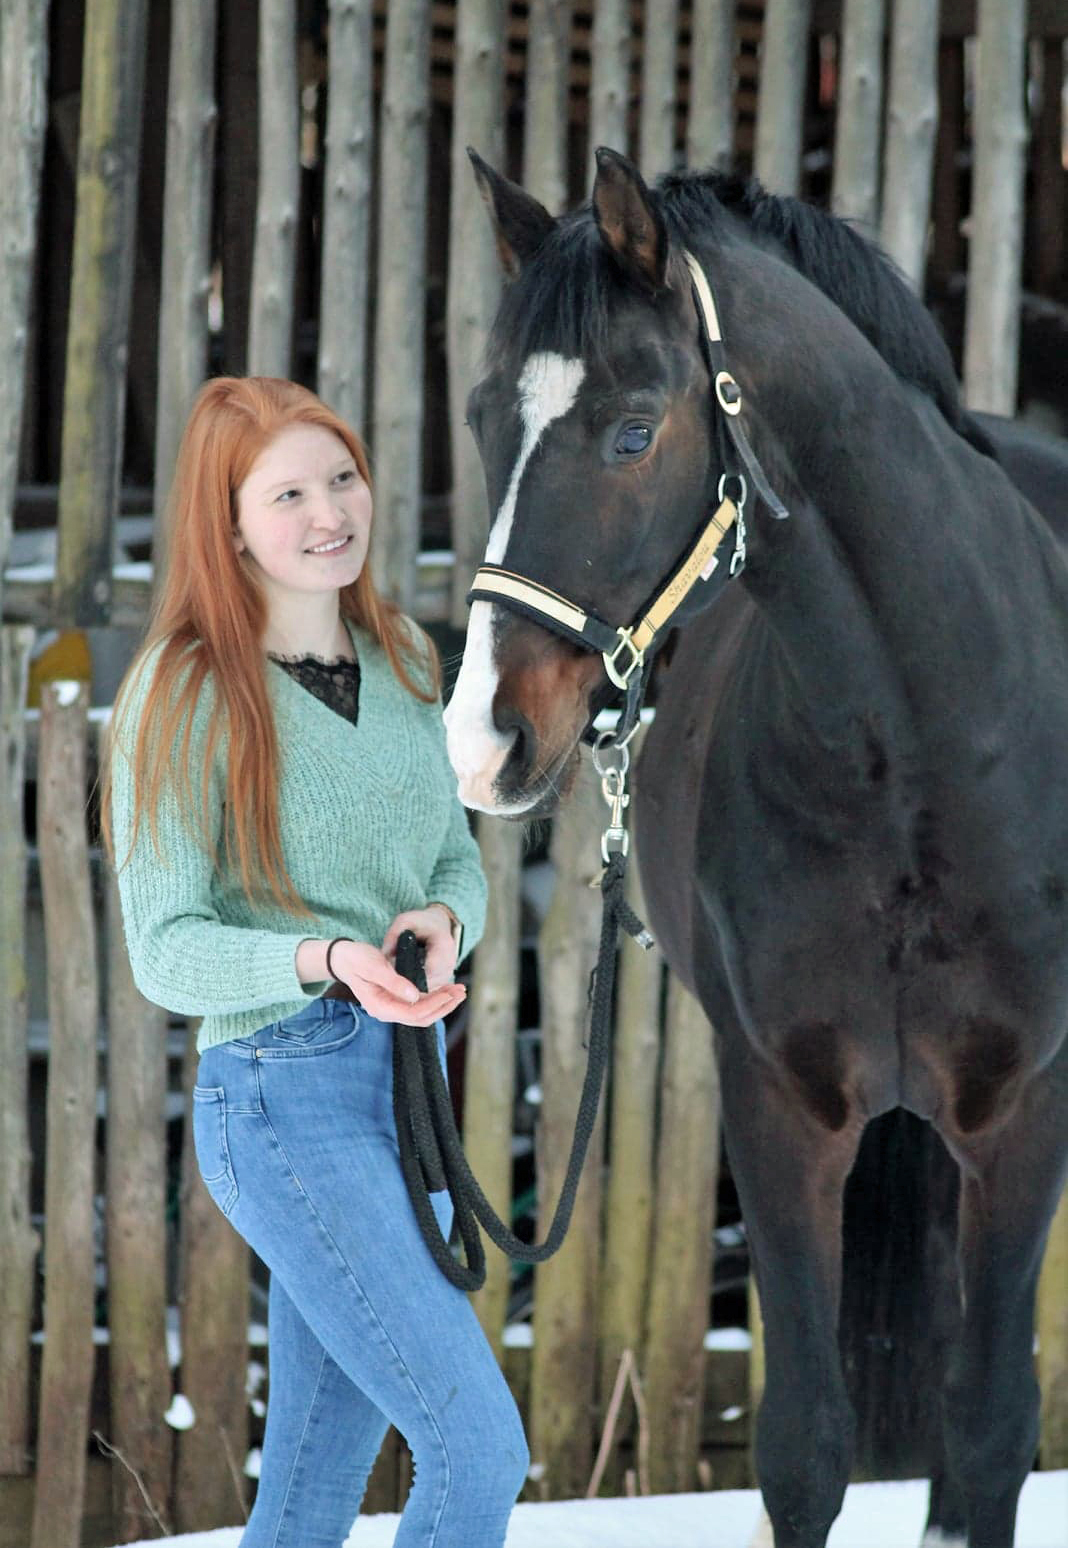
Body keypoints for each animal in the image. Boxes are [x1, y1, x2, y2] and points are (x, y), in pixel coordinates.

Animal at [439, 147, 1064, 1548]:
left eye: (633, 429)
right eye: (485, 420)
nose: (481, 738)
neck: (922, 752)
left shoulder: (1024, 1107)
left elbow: (994, 1425)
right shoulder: (779, 1107)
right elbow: (805, 1448)